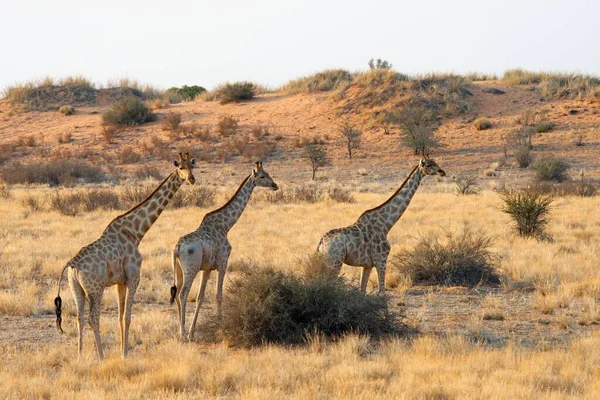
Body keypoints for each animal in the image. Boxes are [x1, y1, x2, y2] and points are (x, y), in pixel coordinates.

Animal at [52, 152, 196, 360]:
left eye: (192, 165)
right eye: (181, 168)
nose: (192, 179)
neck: (135, 232)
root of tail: (72, 265)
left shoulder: (120, 282)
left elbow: (120, 317)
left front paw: (123, 351)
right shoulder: (134, 277)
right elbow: (127, 317)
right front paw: (125, 355)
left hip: (76, 289)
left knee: (79, 318)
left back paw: (79, 357)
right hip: (95, 289)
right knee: (93, 318)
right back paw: (101, 357)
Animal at [170, 161, 278, 340]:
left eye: (269, 174)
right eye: (262, 176)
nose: (275, 185)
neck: (226, 225)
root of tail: (177, 248)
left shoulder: (206, 268)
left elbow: (200, 298)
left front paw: (193, 333)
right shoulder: (223, 262)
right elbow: (218, 295)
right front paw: (220, 326)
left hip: (178, 269)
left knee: (177, 294)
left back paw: (183, 333)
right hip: (191, 269)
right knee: (183, 294)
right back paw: (182, 335)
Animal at [318, 158, 446, 296]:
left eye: (435, 162)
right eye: (428, 165)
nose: (442, 172)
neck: (386, 224)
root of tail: (321, 243)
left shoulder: (367, 265)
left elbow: (362, 291)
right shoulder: (381, 260)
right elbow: (382, 293)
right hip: (335, 262)